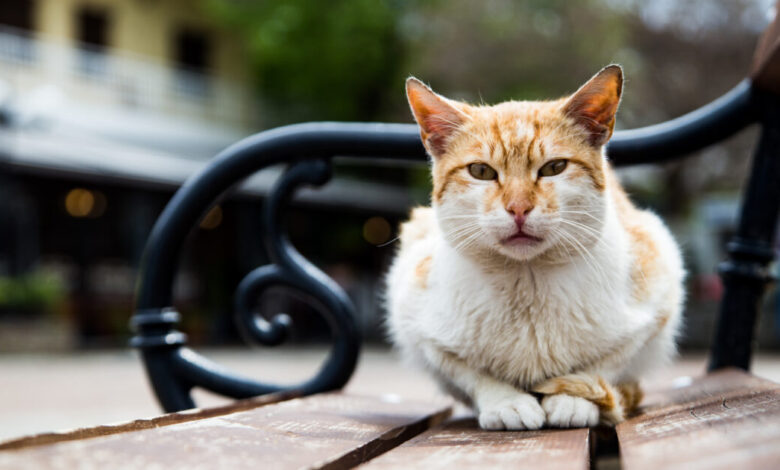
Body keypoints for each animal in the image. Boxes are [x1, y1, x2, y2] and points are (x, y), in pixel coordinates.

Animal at [386, 65, 684, 430]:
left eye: (554, 167)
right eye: (481, 171)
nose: (518, 208)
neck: (526, 280)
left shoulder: (657, 296)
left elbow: (603, 364)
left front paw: (573, 400)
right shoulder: (414, 320)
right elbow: (470, 373)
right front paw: (507, 403)